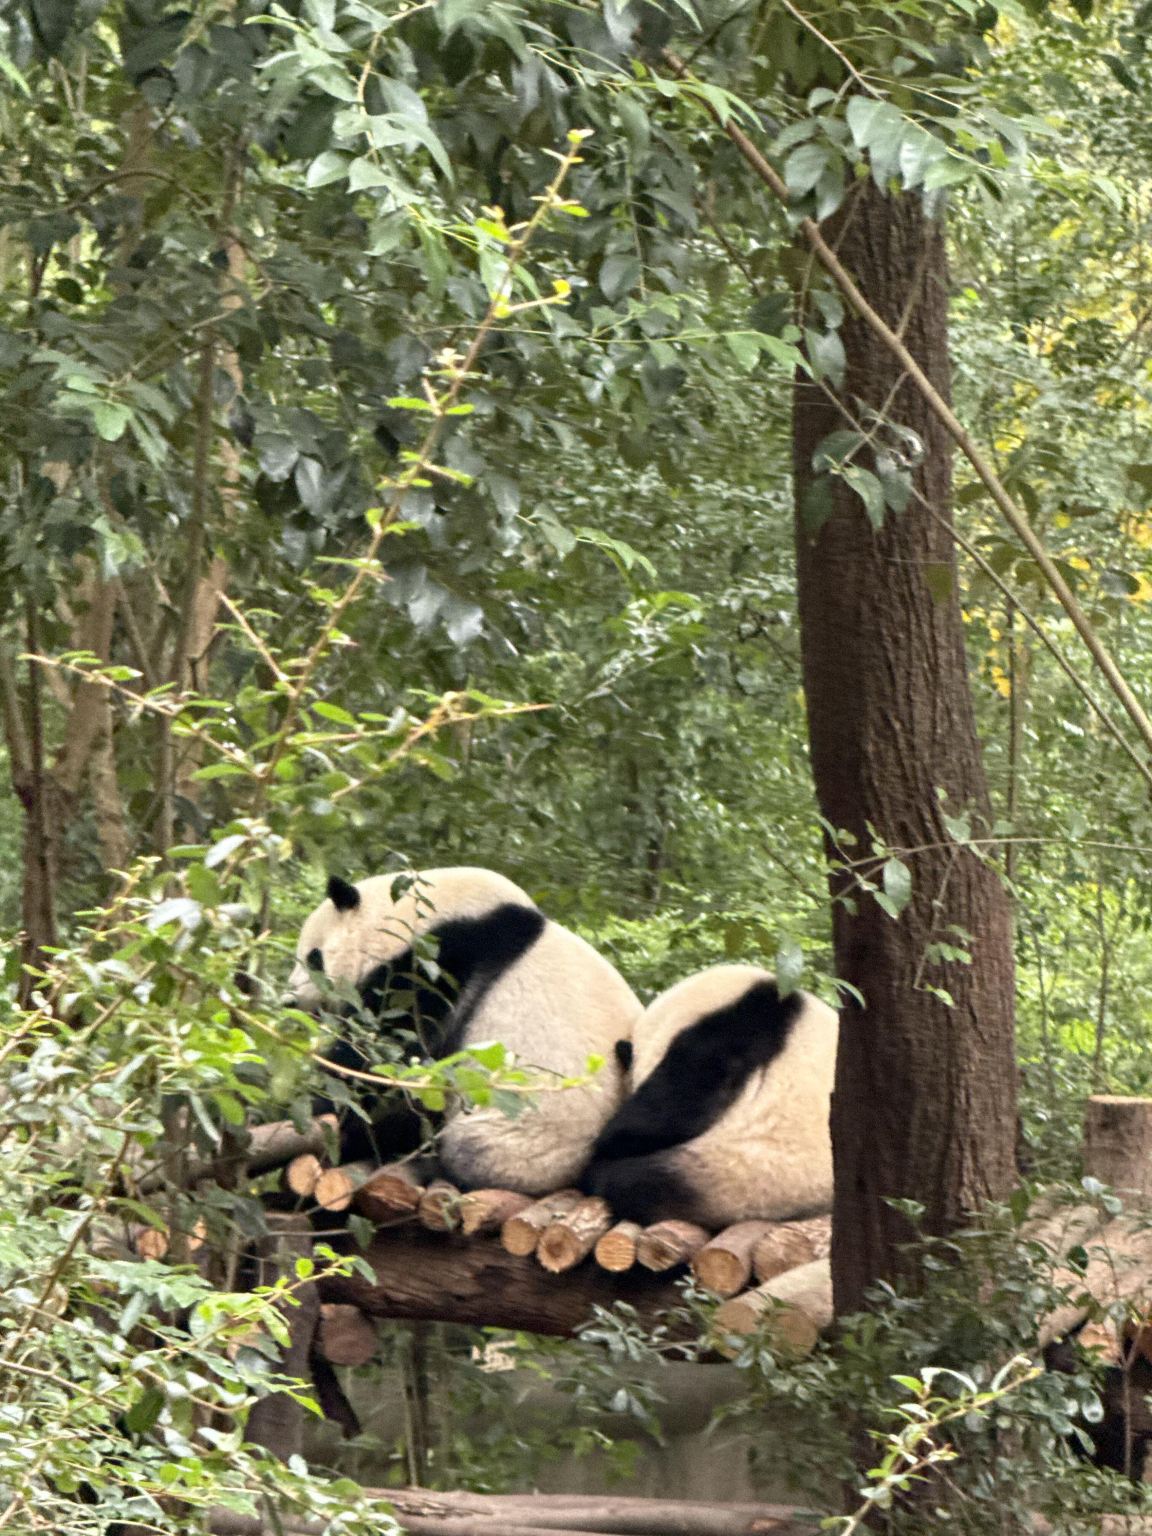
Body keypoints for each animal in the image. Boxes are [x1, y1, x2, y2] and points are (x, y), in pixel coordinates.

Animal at [288, 867, 641, 1194]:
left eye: (314, 957)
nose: (290, 1000)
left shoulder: (443, 962)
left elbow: (383, 1055)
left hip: (522, 1139)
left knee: (469, 1150)